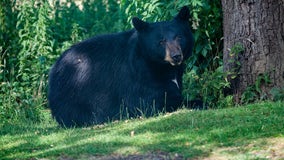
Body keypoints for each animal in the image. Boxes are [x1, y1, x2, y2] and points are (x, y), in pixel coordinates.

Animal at [48, 6, 194, 127]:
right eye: (161, 41)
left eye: (179, 37)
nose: (176, 56)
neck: (162, 66)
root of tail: (54, 68)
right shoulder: (139, 76)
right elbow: (154, 101)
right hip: (75, 93)